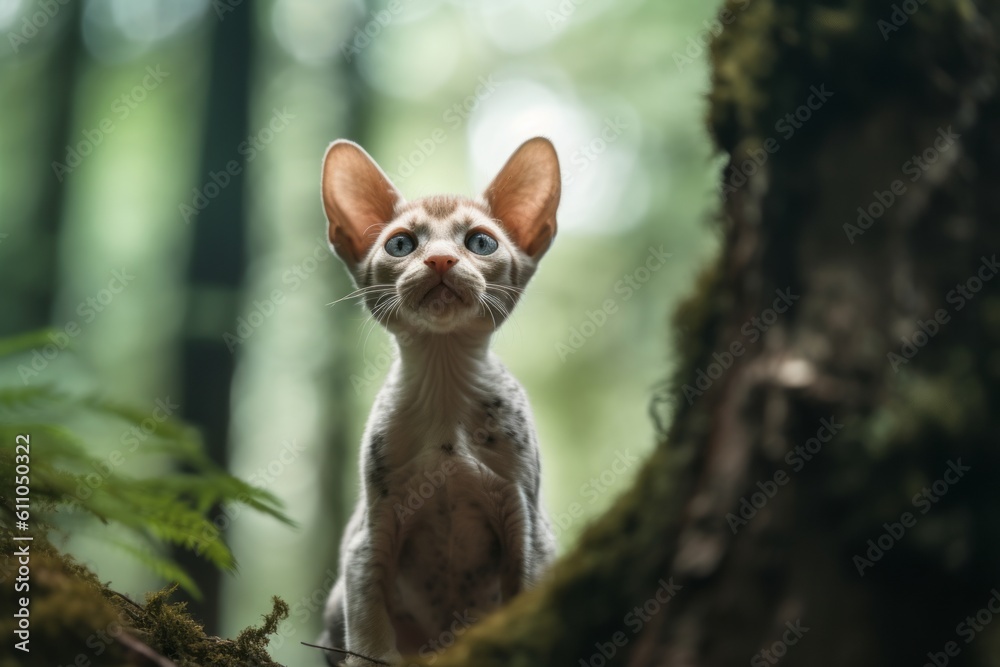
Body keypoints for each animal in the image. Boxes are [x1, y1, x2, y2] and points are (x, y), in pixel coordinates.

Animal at [316, 138, 560, 664]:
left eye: (481, 242)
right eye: (401, 244)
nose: (442, 261)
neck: (445, 391)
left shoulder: (527, 526)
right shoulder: (368, 539)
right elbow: (369, 641)